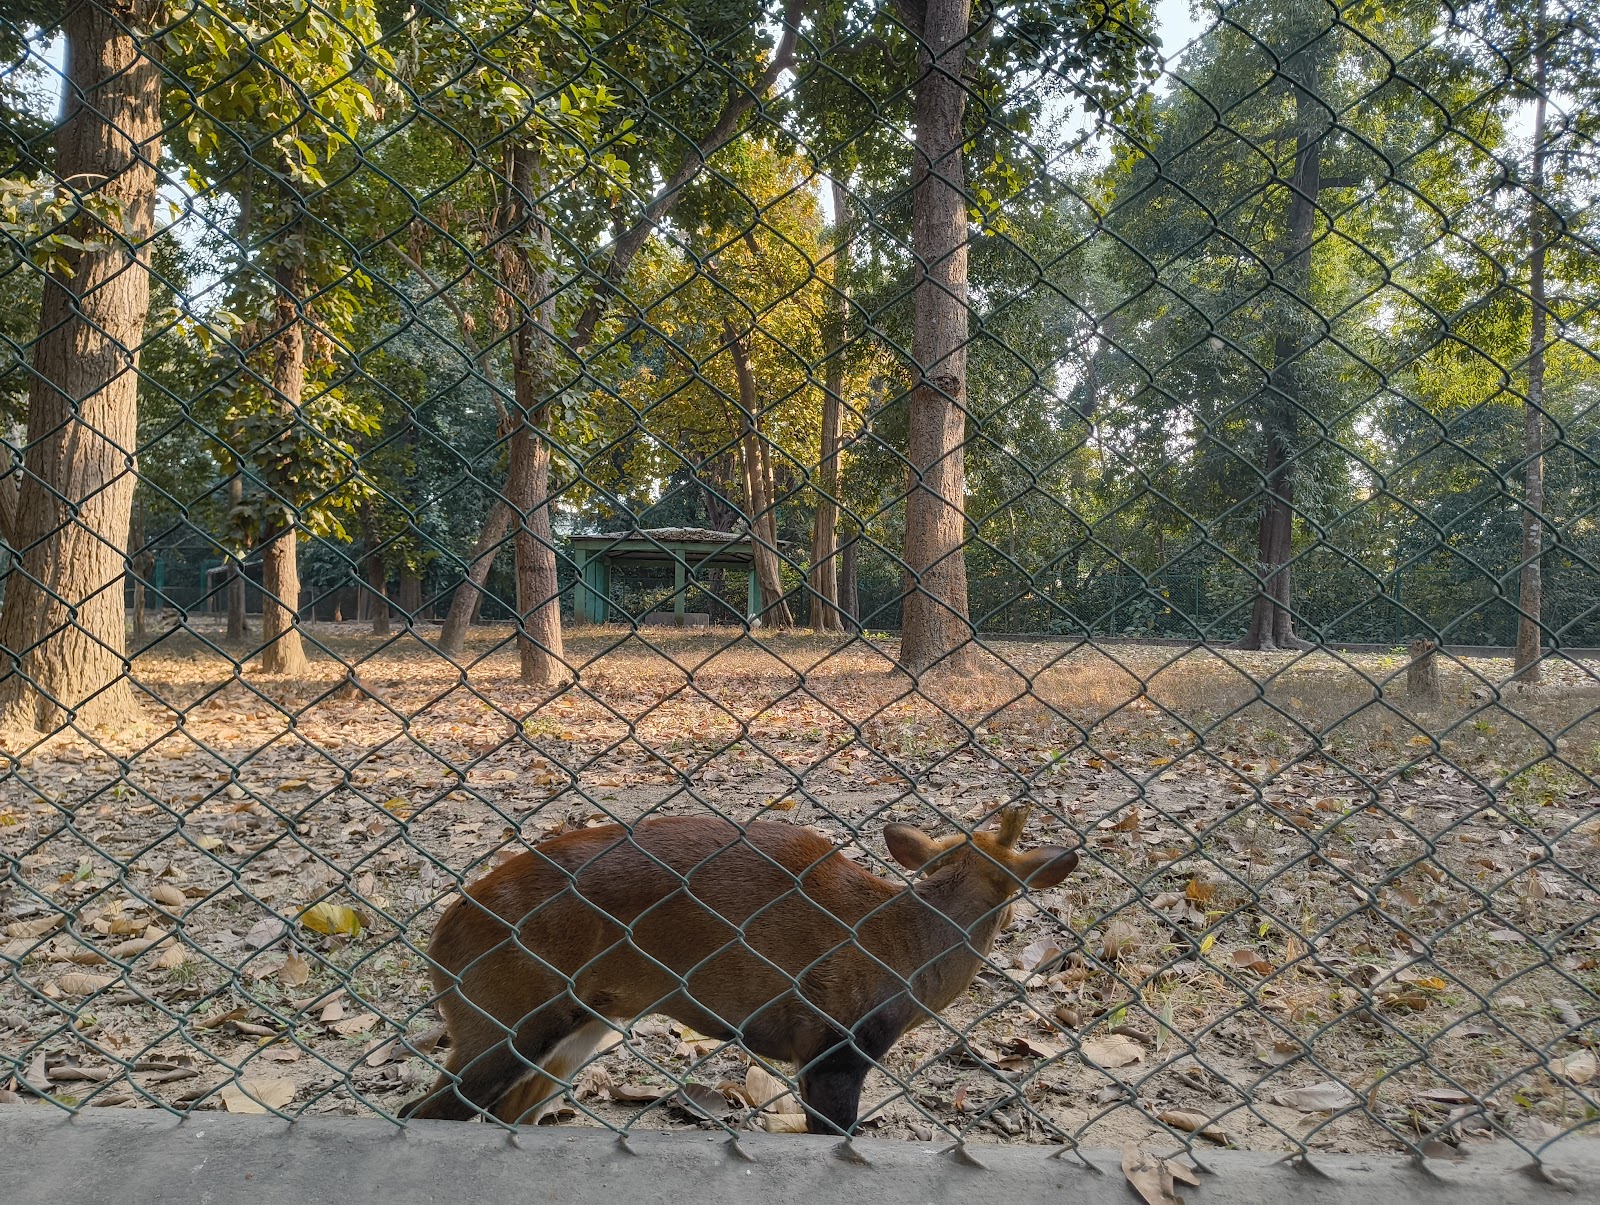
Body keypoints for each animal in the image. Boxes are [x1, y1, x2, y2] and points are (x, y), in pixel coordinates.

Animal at [399, 805, 1078, 1134]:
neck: (904, 946)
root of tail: (441, 937)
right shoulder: (835, 1045)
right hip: (506, 1014)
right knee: (428, 1112)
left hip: (576, 1026)